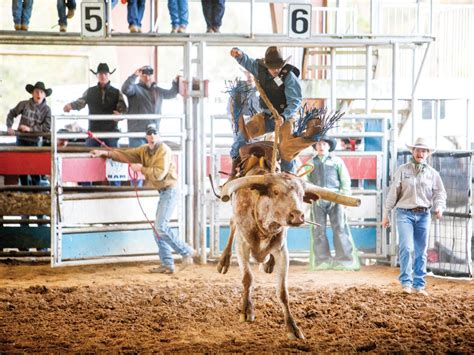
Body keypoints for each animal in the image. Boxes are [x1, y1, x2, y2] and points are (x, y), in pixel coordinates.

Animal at [217, 143, 362, 340]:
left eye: (301, 195)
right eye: (276, 191)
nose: (297, 216)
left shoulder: (282, 251)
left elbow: (282, 291)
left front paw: (292, 327)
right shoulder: (242, 246)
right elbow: (248, 278)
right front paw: (246, 311)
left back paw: (268, 263)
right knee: (232, 225)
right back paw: (224, 261)